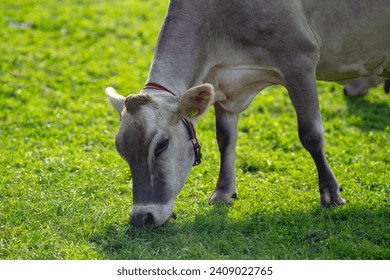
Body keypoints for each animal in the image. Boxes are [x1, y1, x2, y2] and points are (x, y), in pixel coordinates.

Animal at [106, 0, 390, 228]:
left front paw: (331, 193)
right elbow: (225, 138)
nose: (142, 217)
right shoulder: (221, 80)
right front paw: (222, 192)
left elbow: (311, 134)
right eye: (121, 151)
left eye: (161, 145)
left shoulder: (299, 60)